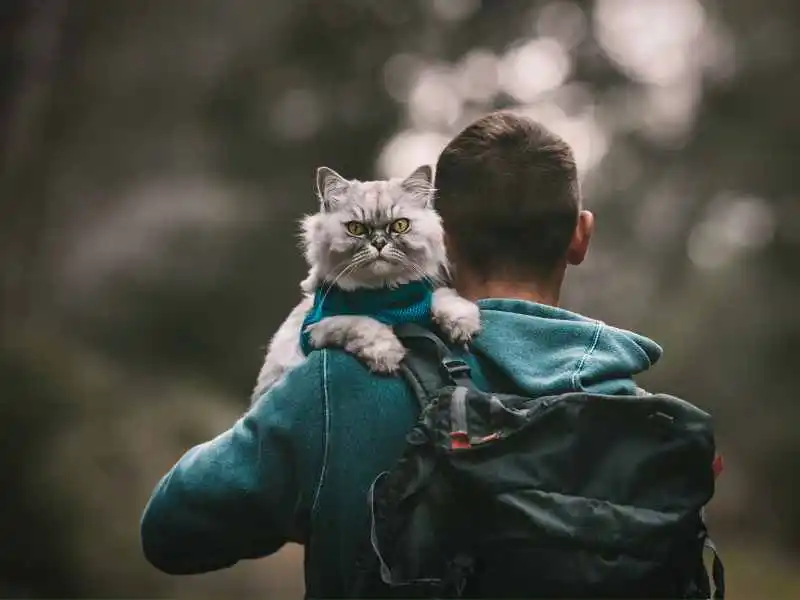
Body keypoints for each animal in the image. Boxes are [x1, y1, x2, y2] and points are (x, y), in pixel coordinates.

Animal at [253, 164, 478, 404]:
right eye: (356, 229)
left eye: (400, 225)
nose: (379, 243)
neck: (387, 300)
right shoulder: (319, 326)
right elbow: (363, 323)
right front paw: (387, 355)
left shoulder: (420, 296)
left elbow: (443, 297)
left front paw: (462, 324)